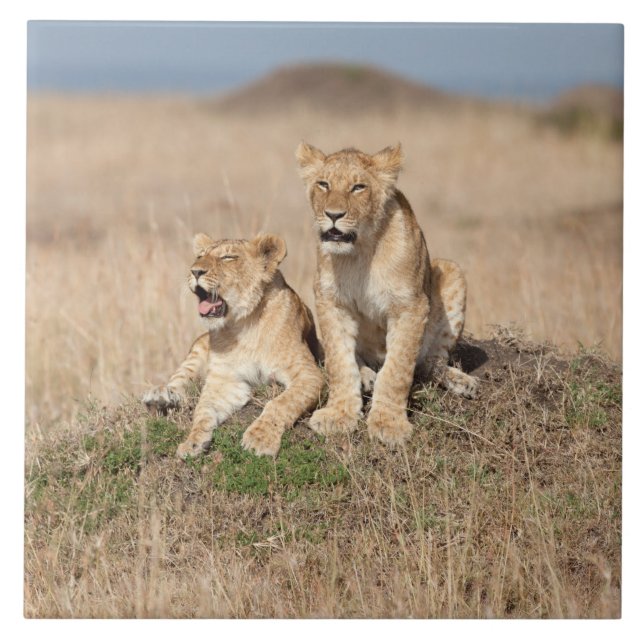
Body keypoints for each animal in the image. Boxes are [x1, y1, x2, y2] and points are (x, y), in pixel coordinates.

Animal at [142, 232, 324, 458]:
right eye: (200, 256)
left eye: (227, 257)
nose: (195, 271)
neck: (244, 324)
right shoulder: (226, 381)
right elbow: (203, 411)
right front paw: (192, 442)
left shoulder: (309, 373)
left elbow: (281, 402)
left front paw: (260, 439)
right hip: (198, 346)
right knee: (180, 379)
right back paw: (160, 396)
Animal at [295, 142, 478, 445]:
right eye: (323, 184)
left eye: (358, 187)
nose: (333, 215)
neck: (359, 252)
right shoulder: (331, 302)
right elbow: (339, 362)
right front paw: (338, 415)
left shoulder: (410, 306)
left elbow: (397, 370)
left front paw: (389, 424)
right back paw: (366, 375)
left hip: (451, 271)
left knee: (430, 362)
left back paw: (462, 382)